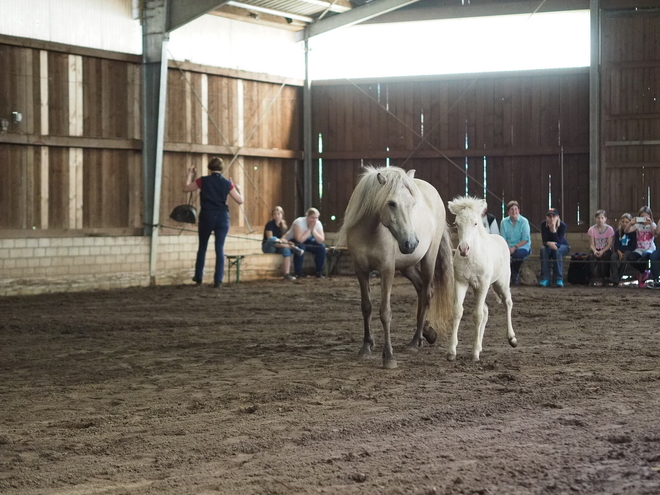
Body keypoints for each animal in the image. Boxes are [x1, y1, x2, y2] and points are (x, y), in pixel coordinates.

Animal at [338, 166, 456, 368]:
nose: (411, 242)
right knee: (420, 287)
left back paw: (415, 342)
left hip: (428, 259)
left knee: (427, 293)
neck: (369, 231)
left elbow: (385, 312)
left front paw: (389, 357)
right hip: (406, 265)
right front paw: (366, 347)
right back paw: (425, 333)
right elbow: (366, 307)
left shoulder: (387, 270)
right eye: (391, 203)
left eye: (413, 204)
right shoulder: (360, 271)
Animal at [446, 196, 520, 362]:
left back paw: (512, 338)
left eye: (475, 223)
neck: (471, 258)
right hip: (475, 288)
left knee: (507, 303)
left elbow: (477, 315)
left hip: (501, 283)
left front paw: (474, 354)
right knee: (486, 311)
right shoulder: (461, 282)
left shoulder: (483, 284)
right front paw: (452, 351)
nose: (463, 249)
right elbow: (458, 311)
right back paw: (480, 345)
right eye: (457, 224)